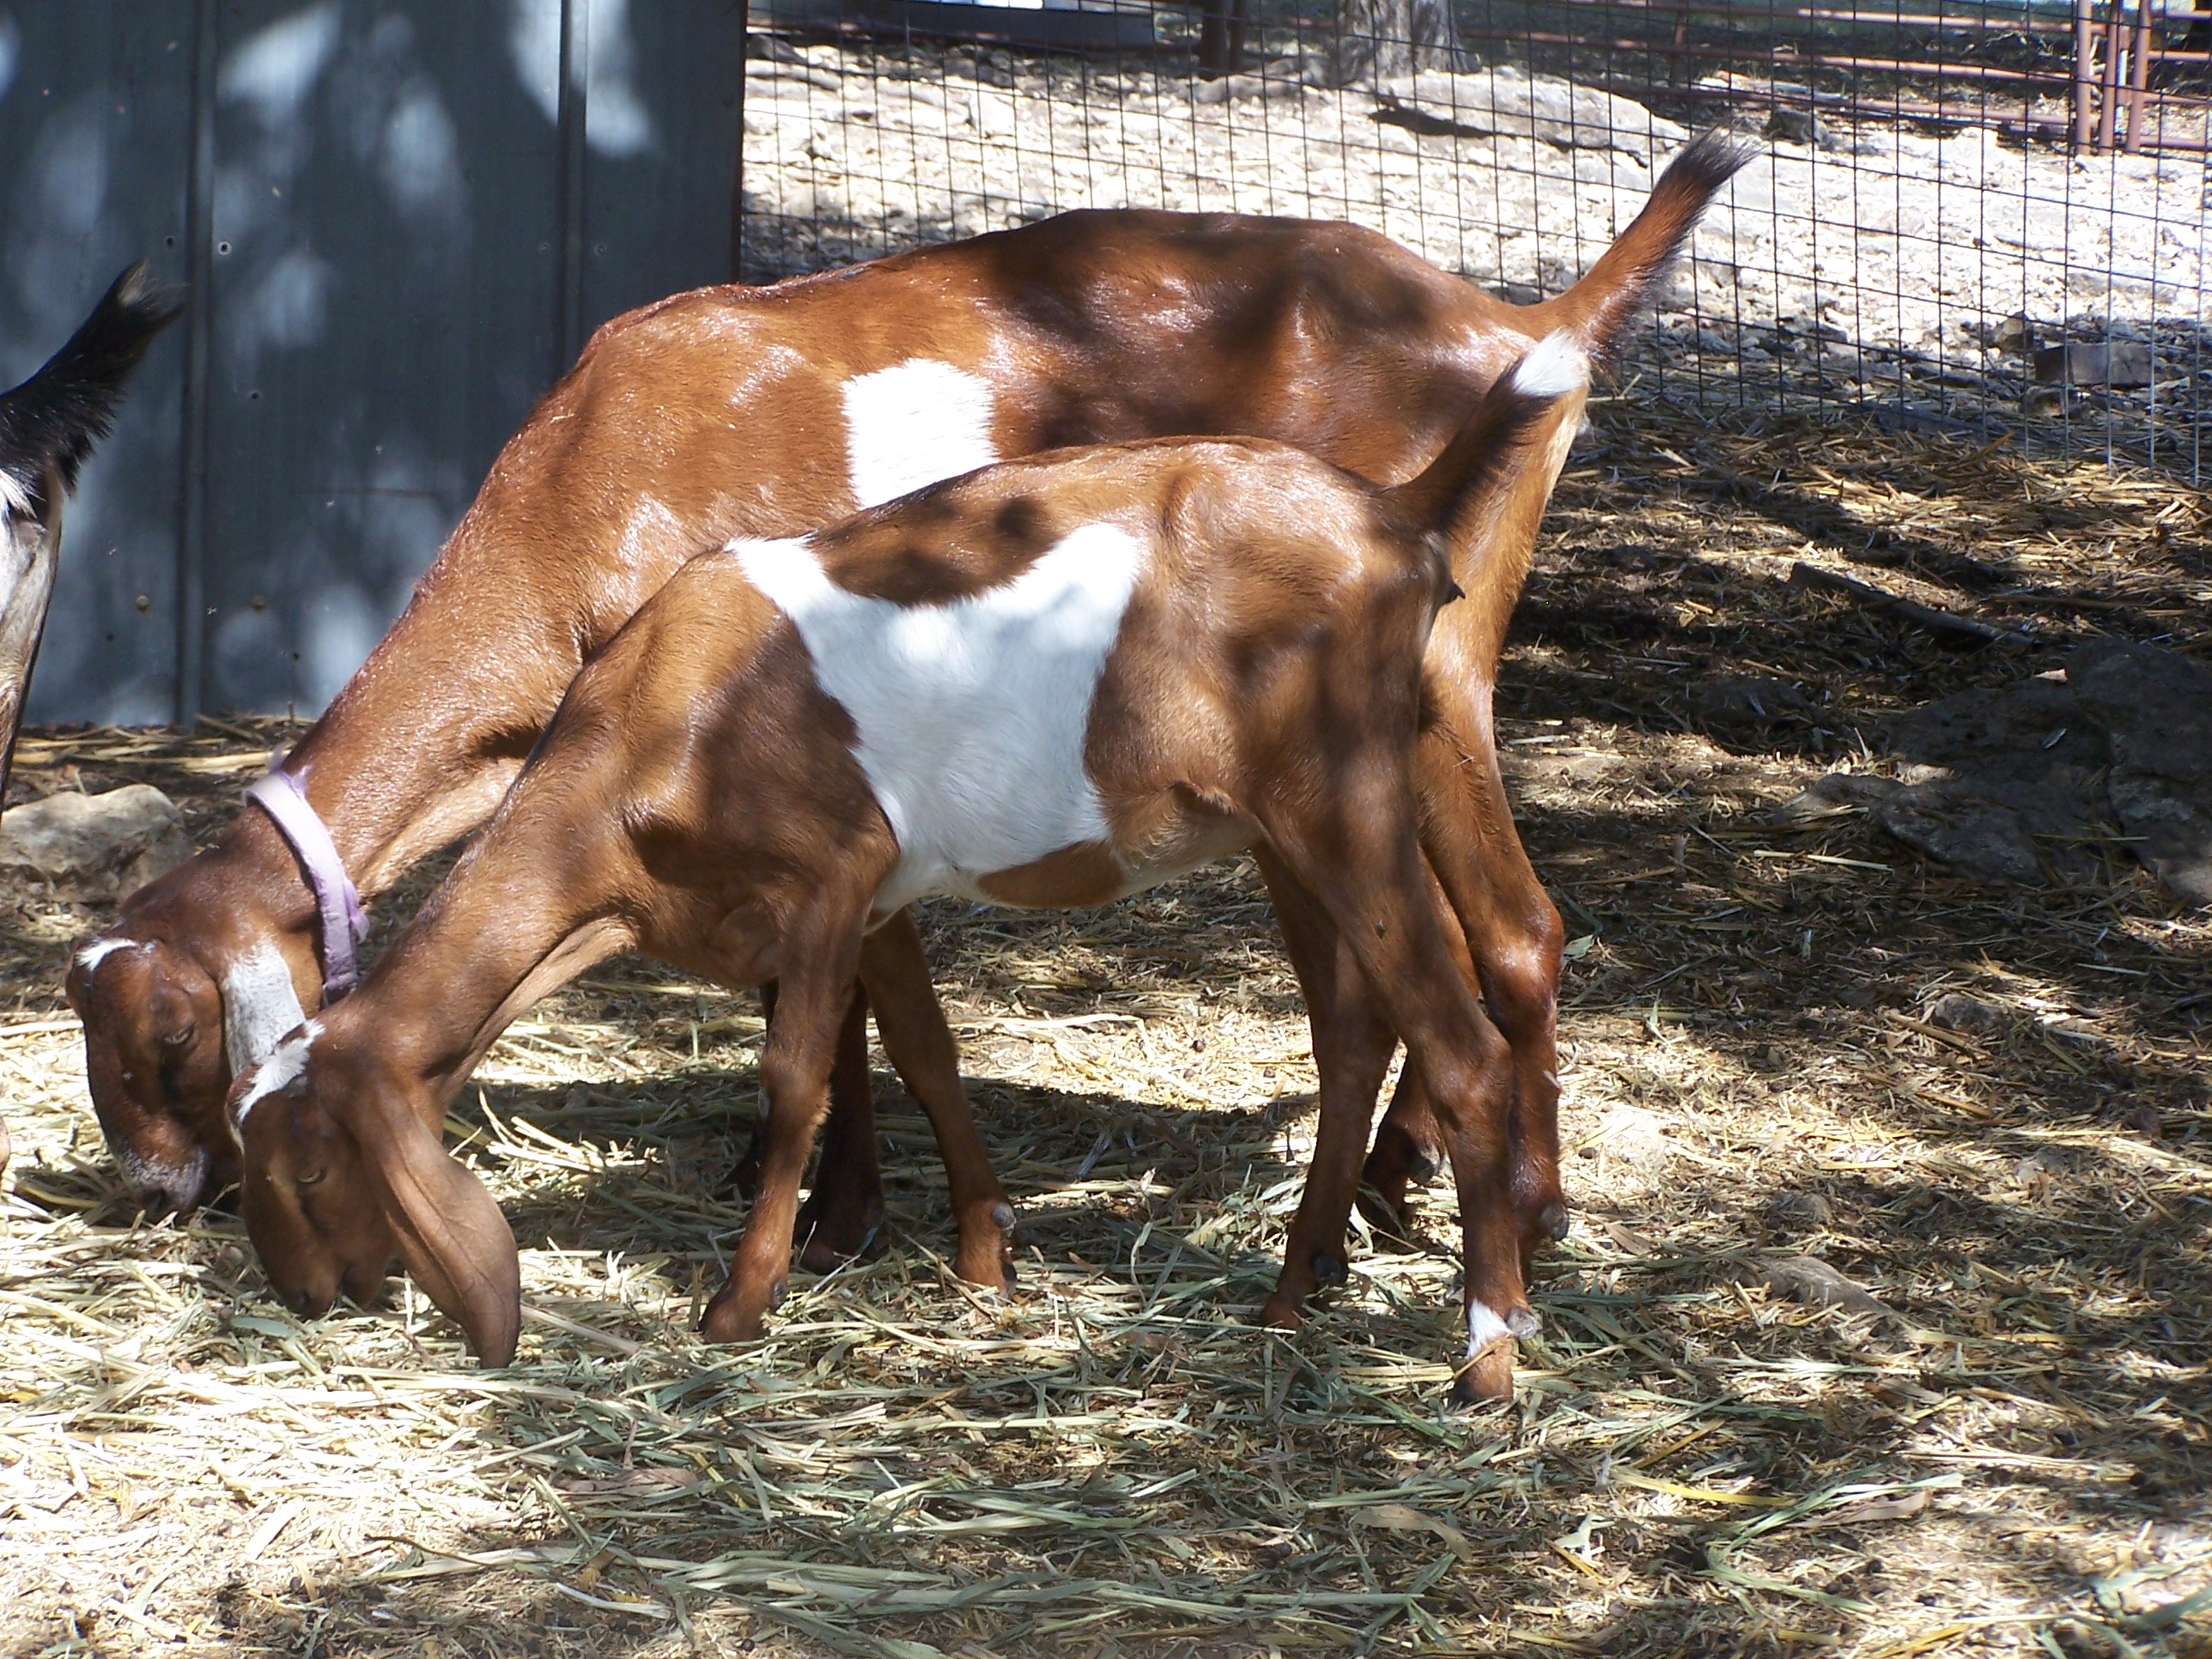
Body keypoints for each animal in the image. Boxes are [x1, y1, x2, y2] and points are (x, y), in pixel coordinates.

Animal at [233, 338, 1592, 1407]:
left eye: (313, 1166)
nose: (301, 1296)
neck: (642, 738)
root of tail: (1396, 515)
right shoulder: (882, 894)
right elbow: (925, 1055)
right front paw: (986, 1260)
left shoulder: (832, 871)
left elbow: (794, 1078)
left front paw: (740, 1304)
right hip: (1296, 819)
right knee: (1353, 1032)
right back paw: (1290, 1296)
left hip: (1344, 802)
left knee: (1462, 1045)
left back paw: (1484, 1356)